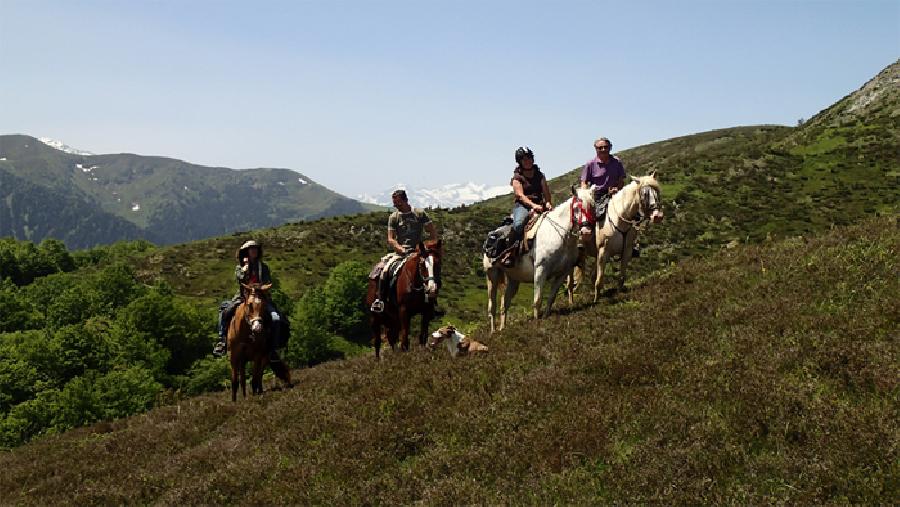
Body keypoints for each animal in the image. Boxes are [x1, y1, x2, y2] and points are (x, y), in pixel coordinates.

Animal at [486, 187, 596, 334]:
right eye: (577, 207)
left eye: (592, 206)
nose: (586, 231)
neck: (561, 236)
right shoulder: (540, 270)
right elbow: (537, 299)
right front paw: (536, 322)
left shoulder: (562, 273)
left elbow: (551, 297)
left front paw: (545, 317)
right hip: (491, 275)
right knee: (492, 306)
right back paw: (493, 332)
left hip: (513, 279)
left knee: (505, 303)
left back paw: (503, 329)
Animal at [572, 173, 664, 304]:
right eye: (644, 194)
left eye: (657, 192)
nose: (658, 216)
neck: (619, 219)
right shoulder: (603, 253)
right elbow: (599, 279)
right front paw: (596, 301)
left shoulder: (626, 251)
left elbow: (621, 277)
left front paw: (618, 294)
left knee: (592, 275)